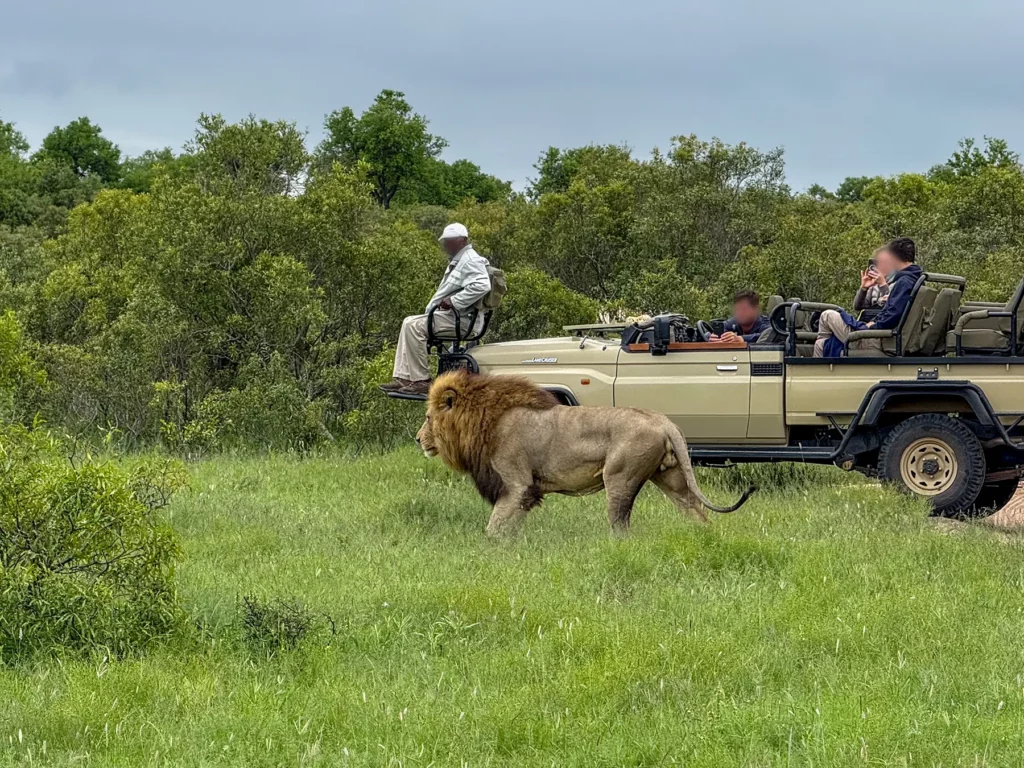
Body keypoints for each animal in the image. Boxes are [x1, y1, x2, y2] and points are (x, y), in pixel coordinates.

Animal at [416, 370, 755, 536]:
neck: (484, 420)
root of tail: (664, 421)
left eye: (429, 417)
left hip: (620, 478)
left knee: (621, 527)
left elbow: (494, 526)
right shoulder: (525, 492)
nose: (418, 439)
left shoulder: (517, 484)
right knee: (696, 512)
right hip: (671, 478)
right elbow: (509, 526)